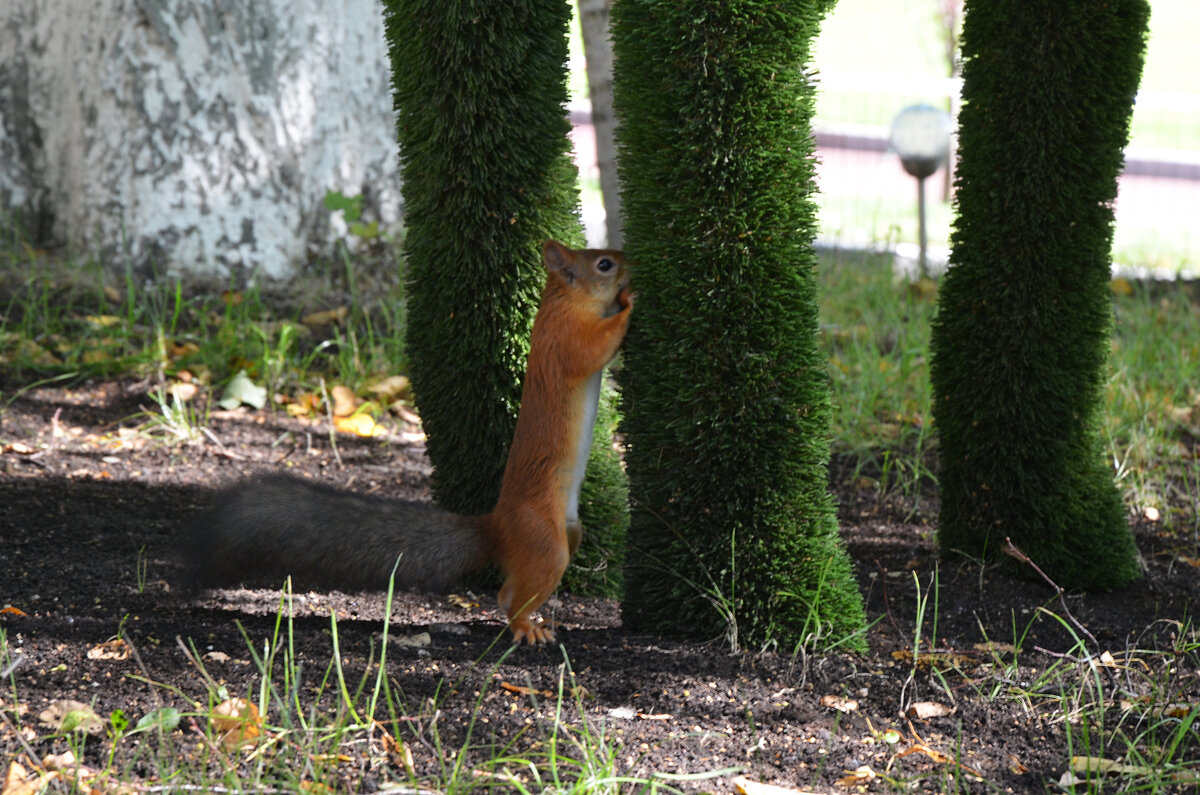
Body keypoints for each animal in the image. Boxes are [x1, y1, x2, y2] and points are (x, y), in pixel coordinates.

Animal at [182, 240, 633, 643]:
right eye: (604, 264)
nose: (630, 262)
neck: (561, 302)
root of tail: (498, 526)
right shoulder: (566, 339)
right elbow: (593, 350)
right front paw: (630, 302)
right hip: (546, 541)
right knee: (514, 594)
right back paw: (525, 626)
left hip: (569, 532)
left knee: (510, 589)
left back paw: (534, 620)